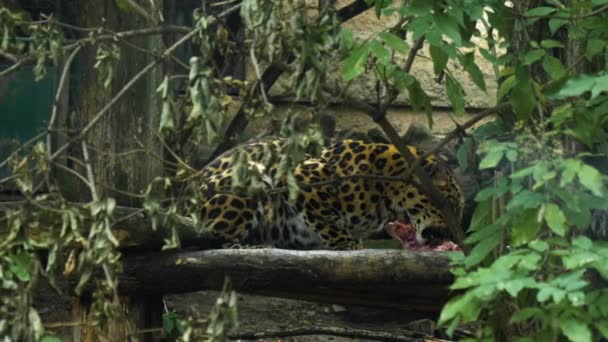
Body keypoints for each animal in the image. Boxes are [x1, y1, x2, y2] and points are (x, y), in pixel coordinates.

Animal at [192, 138, 464, 250]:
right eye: (451, 205)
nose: (454, 236)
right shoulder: (302, 174)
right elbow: (325, 219)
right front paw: (347, 243)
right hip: (251, 174)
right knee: (212, 237)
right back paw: (254, 245)